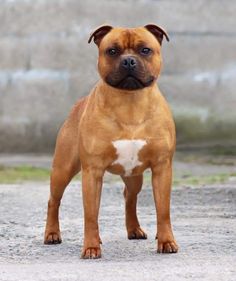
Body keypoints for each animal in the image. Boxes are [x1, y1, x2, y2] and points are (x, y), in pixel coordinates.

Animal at [43, 23, 178, 258]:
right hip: (63, 169)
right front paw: (91, 247)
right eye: (112, 51)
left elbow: (163, 211)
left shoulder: (162, 168)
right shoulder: (92, 172)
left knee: (129, 196)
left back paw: (134, 229)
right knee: (54, 200)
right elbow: (90, 215)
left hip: (134, 177)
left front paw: (167, 241)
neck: (130, 102)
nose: (129, 61)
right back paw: (52, 234)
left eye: (145, 50)